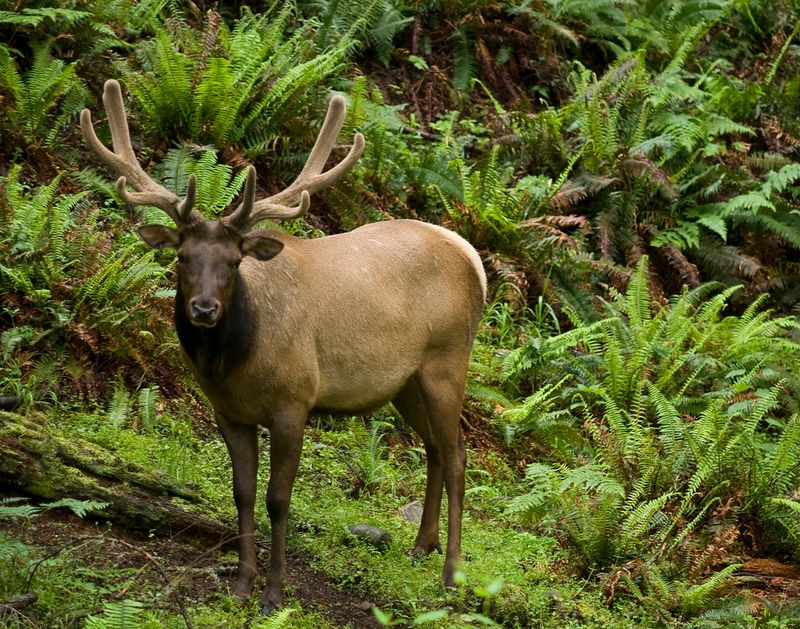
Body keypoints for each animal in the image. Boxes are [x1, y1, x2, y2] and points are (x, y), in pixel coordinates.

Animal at [80, 79, 487, 613]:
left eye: (234, 261)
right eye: (183, 256)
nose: (204, 309)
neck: (236, 364)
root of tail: (473, 258)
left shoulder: (295, 400)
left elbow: (278, 499)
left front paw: (274, 593)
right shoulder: (228, 412)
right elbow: (243, 493)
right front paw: (241, 584)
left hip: (447, 359)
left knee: (458, 455)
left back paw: (452, 571)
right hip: (405, 381)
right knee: (438, 447)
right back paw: (422, 545)